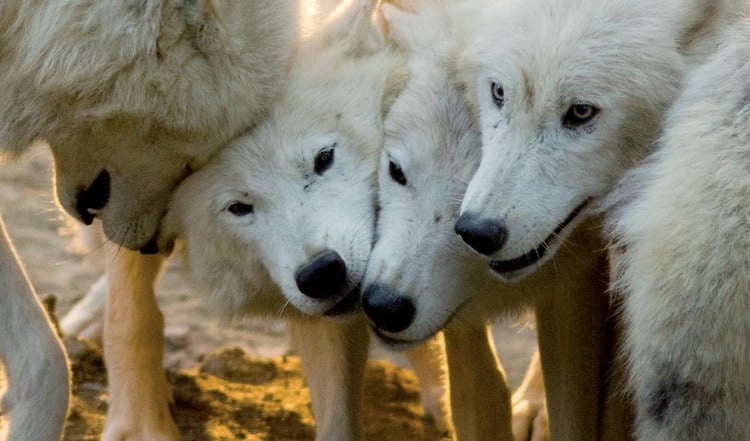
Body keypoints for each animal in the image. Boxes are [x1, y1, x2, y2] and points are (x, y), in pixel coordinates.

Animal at [362, 1, 632, 438]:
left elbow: (574, 409)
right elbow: (482, 398)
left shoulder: (576, 275)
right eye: (396, 171)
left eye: (464, 227)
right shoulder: (461, 320)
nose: (384, 306)